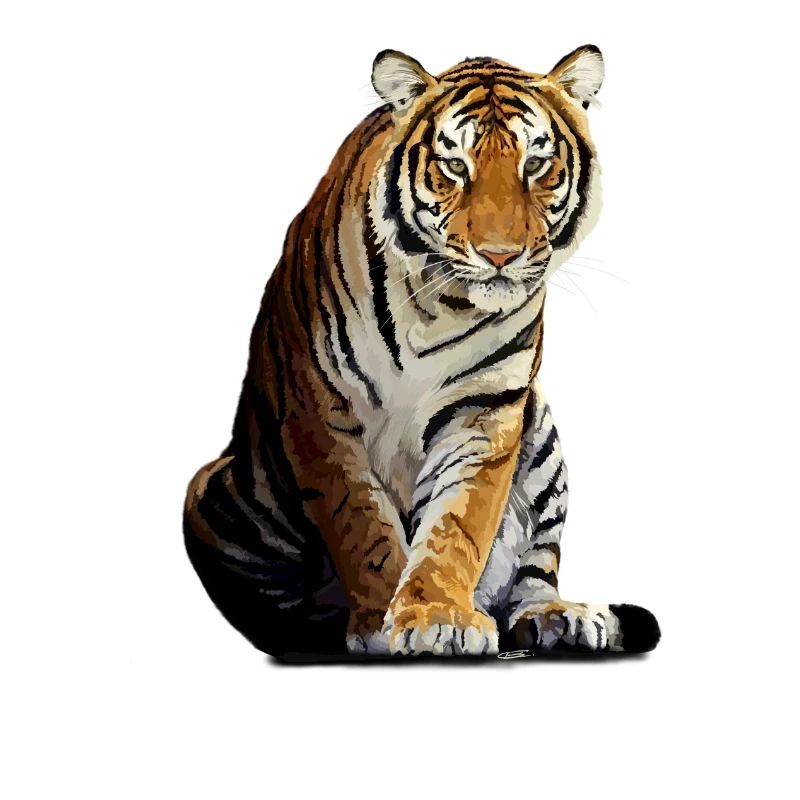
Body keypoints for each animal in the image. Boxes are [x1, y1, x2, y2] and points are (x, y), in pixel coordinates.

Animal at [184, 45, 661, 657]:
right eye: (455, 166)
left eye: (535, 165)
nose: (500, 255)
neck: (440, 307)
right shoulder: (320, 409)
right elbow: (361, 522)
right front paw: (381, 623)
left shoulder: (485, 411)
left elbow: (460, 522)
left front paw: (438, 615)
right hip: (215, 493)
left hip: (544, 439)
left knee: (536, 569)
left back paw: (563, 618)